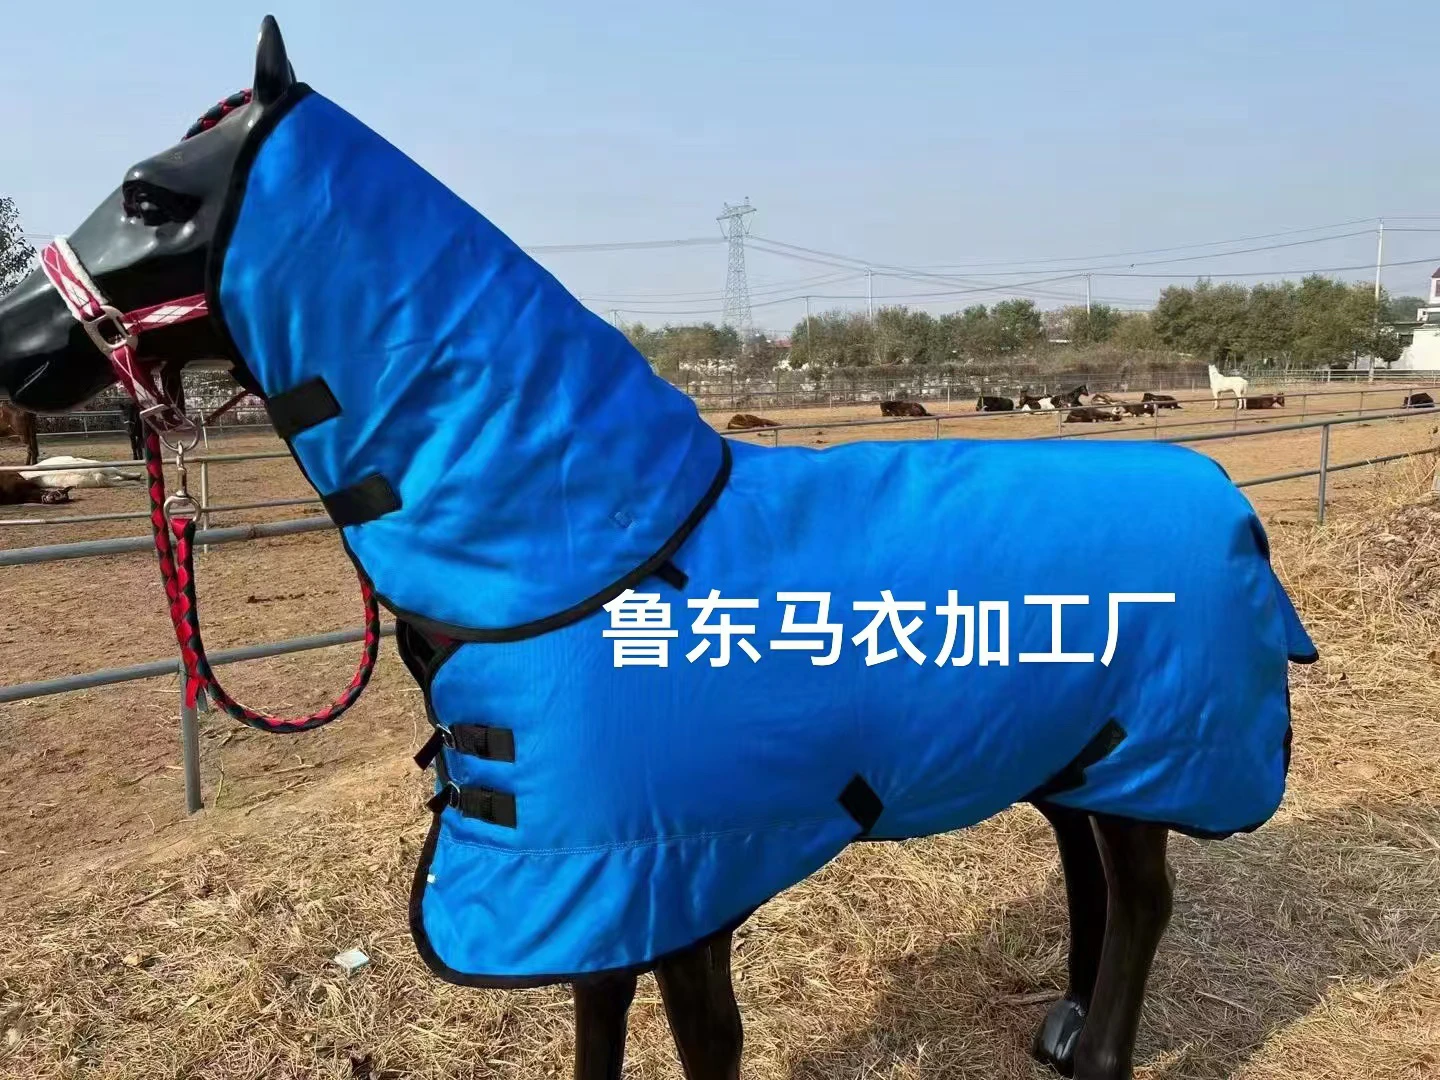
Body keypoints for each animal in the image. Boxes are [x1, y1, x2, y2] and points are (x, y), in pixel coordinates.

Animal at [0, 19, 1317, 1080]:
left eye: (150, 193)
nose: (11, 343)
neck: (592, 557)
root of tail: (1222, 493)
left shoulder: (682, 885)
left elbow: (705, 1046)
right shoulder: (595, 882)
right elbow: (596, 1025)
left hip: (1162, 754)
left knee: (1143, 893)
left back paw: (1098, 1052)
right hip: (1070, 751)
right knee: (1084, 867)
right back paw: (1061, 1022)